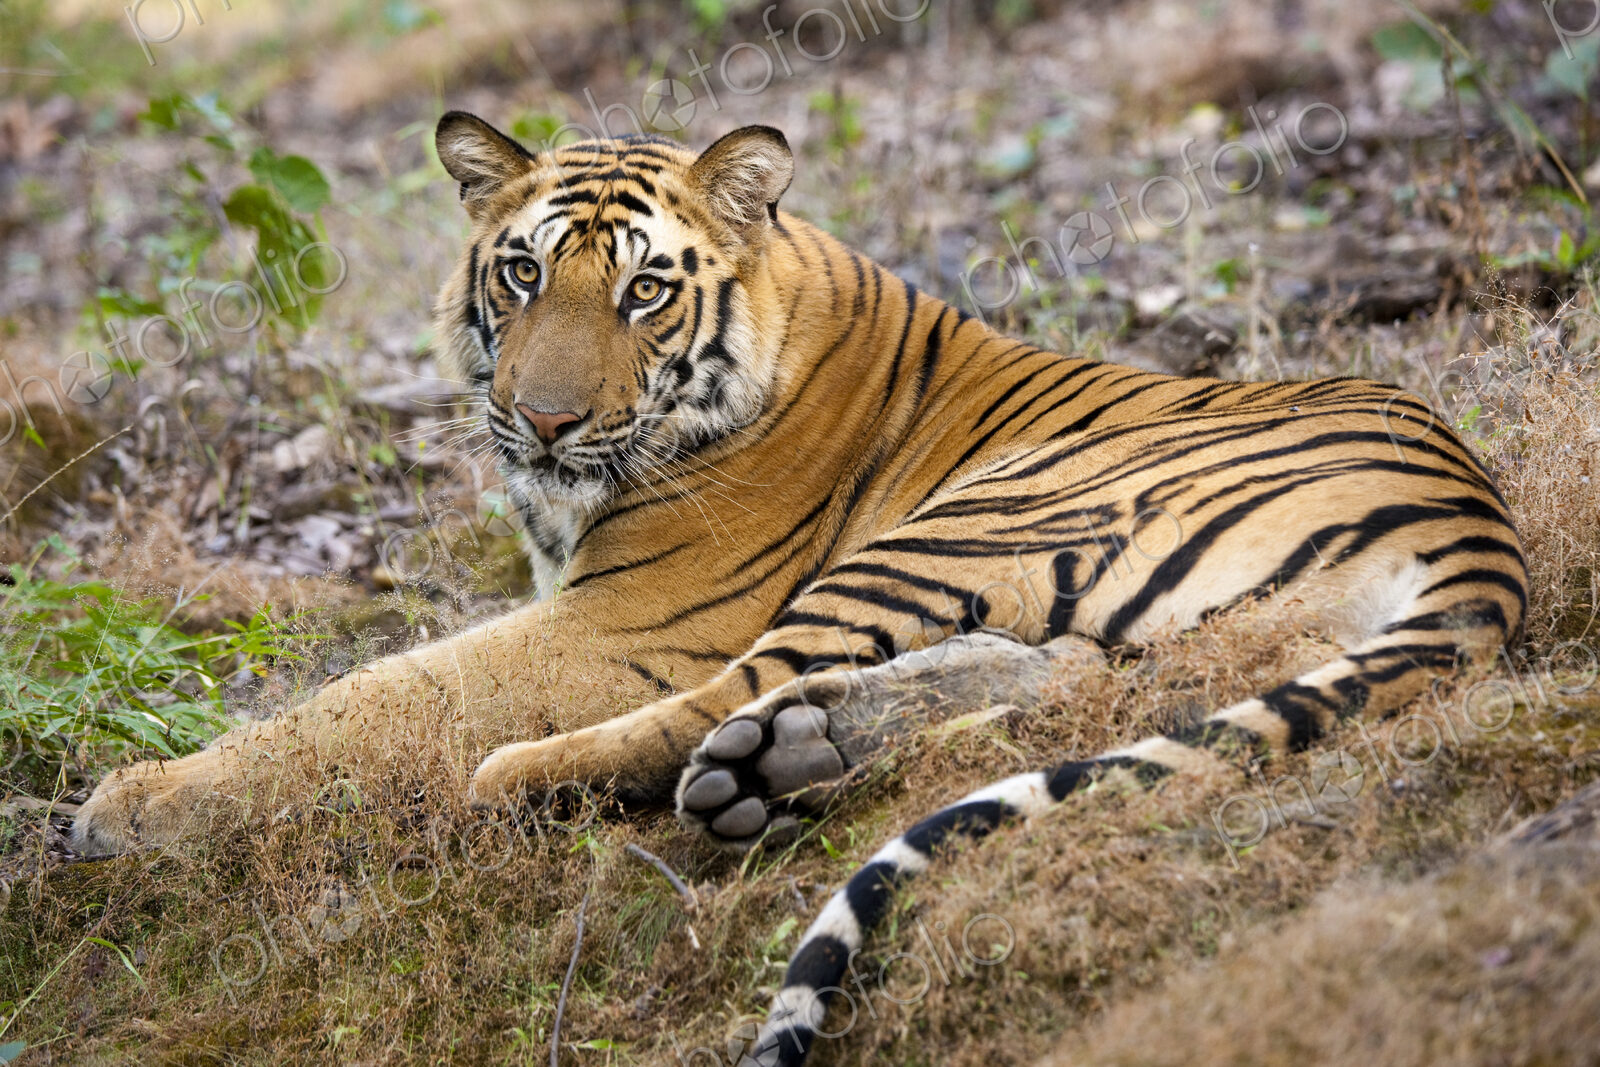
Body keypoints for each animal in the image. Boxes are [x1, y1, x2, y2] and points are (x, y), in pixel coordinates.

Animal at [72, 114, 1526, 1065]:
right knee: (1053, 674)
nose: (541, 422)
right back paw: (795, 754)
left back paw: (570, 777)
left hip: (971, 513)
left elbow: (375, 691)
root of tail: (1479, 517)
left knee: (713, 705)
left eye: (644, 291)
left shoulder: (623, 621)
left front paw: (129, 805)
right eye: (523, 270)